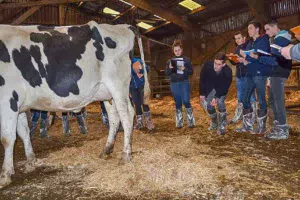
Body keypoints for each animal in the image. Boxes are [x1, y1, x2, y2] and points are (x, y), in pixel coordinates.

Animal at [0, 20, 150, 188]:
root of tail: (124, 26)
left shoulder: (8, 99)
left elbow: (7, 138)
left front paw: (5, 175)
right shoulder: (18, 104)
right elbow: (23, 132)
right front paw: (30, 162)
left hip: (118, 85)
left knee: (127, 115)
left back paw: (125, 155)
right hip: (107, 93)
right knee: (114, 117)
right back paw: (106, 150)